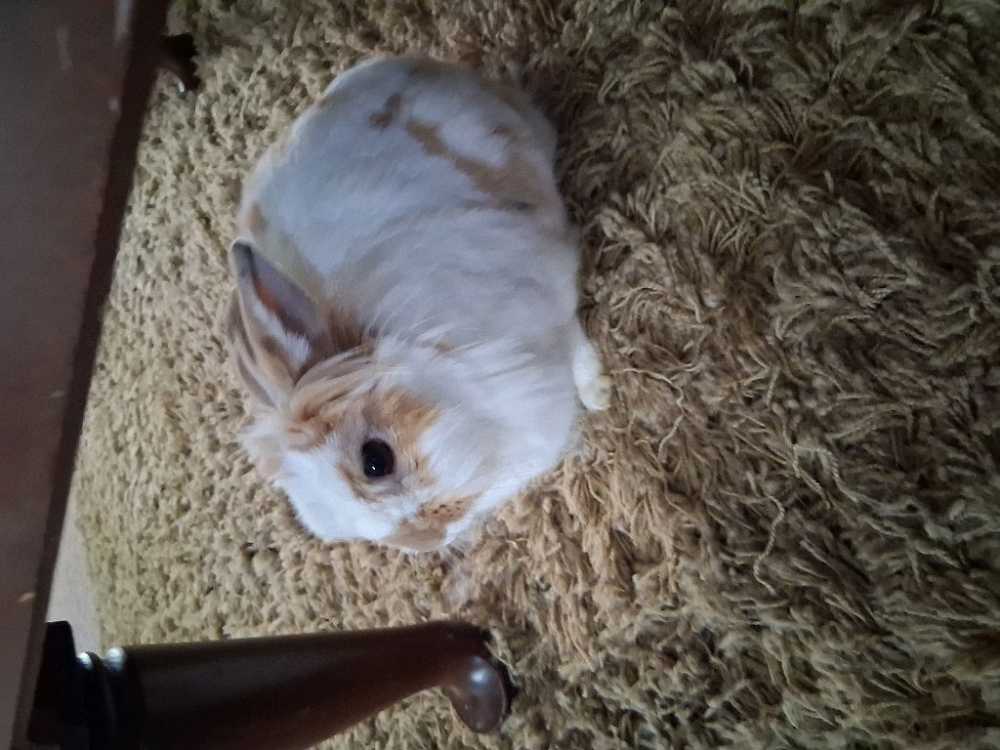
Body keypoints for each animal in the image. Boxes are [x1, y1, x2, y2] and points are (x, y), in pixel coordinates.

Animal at [225, 55, 610, 552]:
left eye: (376, 460)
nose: (430, 536)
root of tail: (408, 66)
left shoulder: (548, 287)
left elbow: (575, 342)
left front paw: (598, 393)